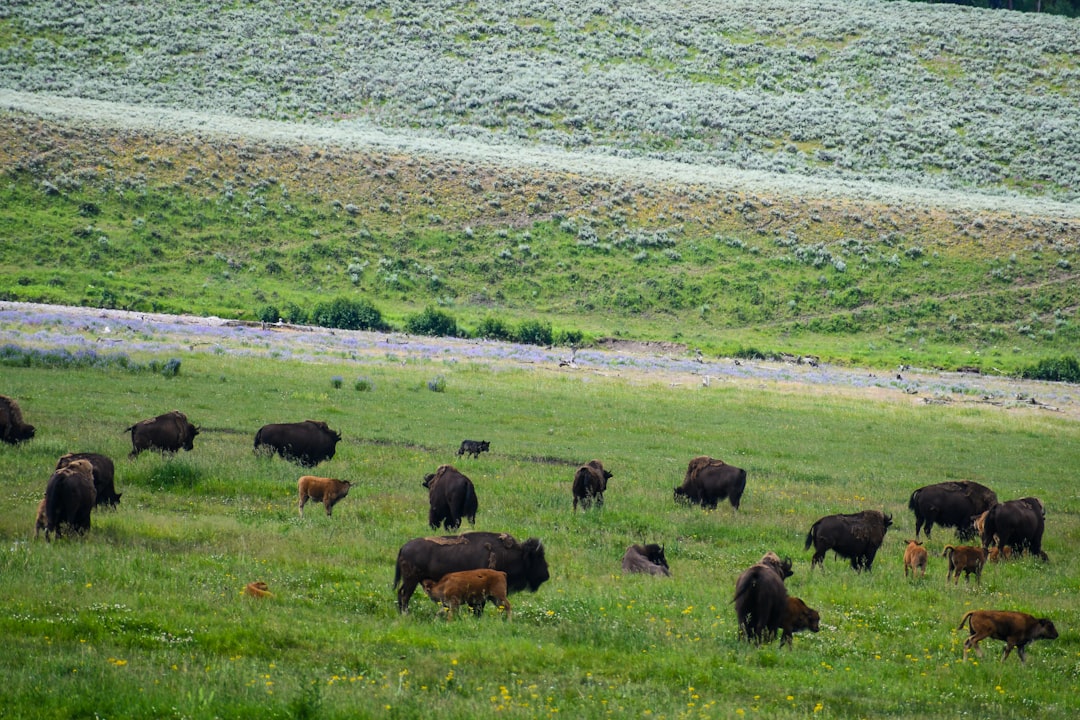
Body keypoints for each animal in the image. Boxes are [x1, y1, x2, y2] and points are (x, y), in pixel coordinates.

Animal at [393, 528, 548, 613]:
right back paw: (406, 614)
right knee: (404, 595)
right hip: (411, 580)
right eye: (538, 558)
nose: (546, 575)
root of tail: (403, 547)